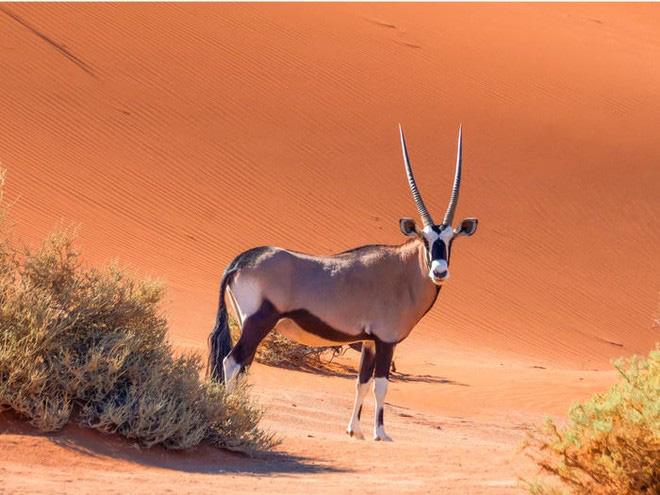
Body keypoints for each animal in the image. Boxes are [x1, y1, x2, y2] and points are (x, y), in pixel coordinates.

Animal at [209, 124, 476, 442]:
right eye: (424, 239)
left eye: (450, 239)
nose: (439, 271)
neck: (403, 272)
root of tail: (239, 261)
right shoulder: (386, 341)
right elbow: (381, 385)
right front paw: (380, 434)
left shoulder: (369, 342)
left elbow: (361, 383)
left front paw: (354, 431)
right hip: (258, 322)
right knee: (232, 362)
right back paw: (230, 416)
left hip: (249, 324)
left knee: (241, 365)